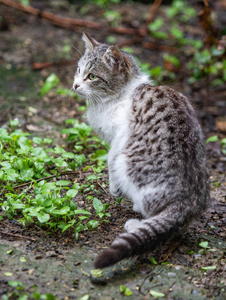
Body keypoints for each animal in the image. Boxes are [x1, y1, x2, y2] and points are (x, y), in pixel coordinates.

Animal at [72, 33, 210, 270]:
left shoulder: (120, 137)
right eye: (78, 70)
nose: (75, 85)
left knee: (151, 211)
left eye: (91, 76)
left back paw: (135, 220)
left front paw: (113, 189)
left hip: (128, 162)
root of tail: (190, 202)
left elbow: (110, 159)